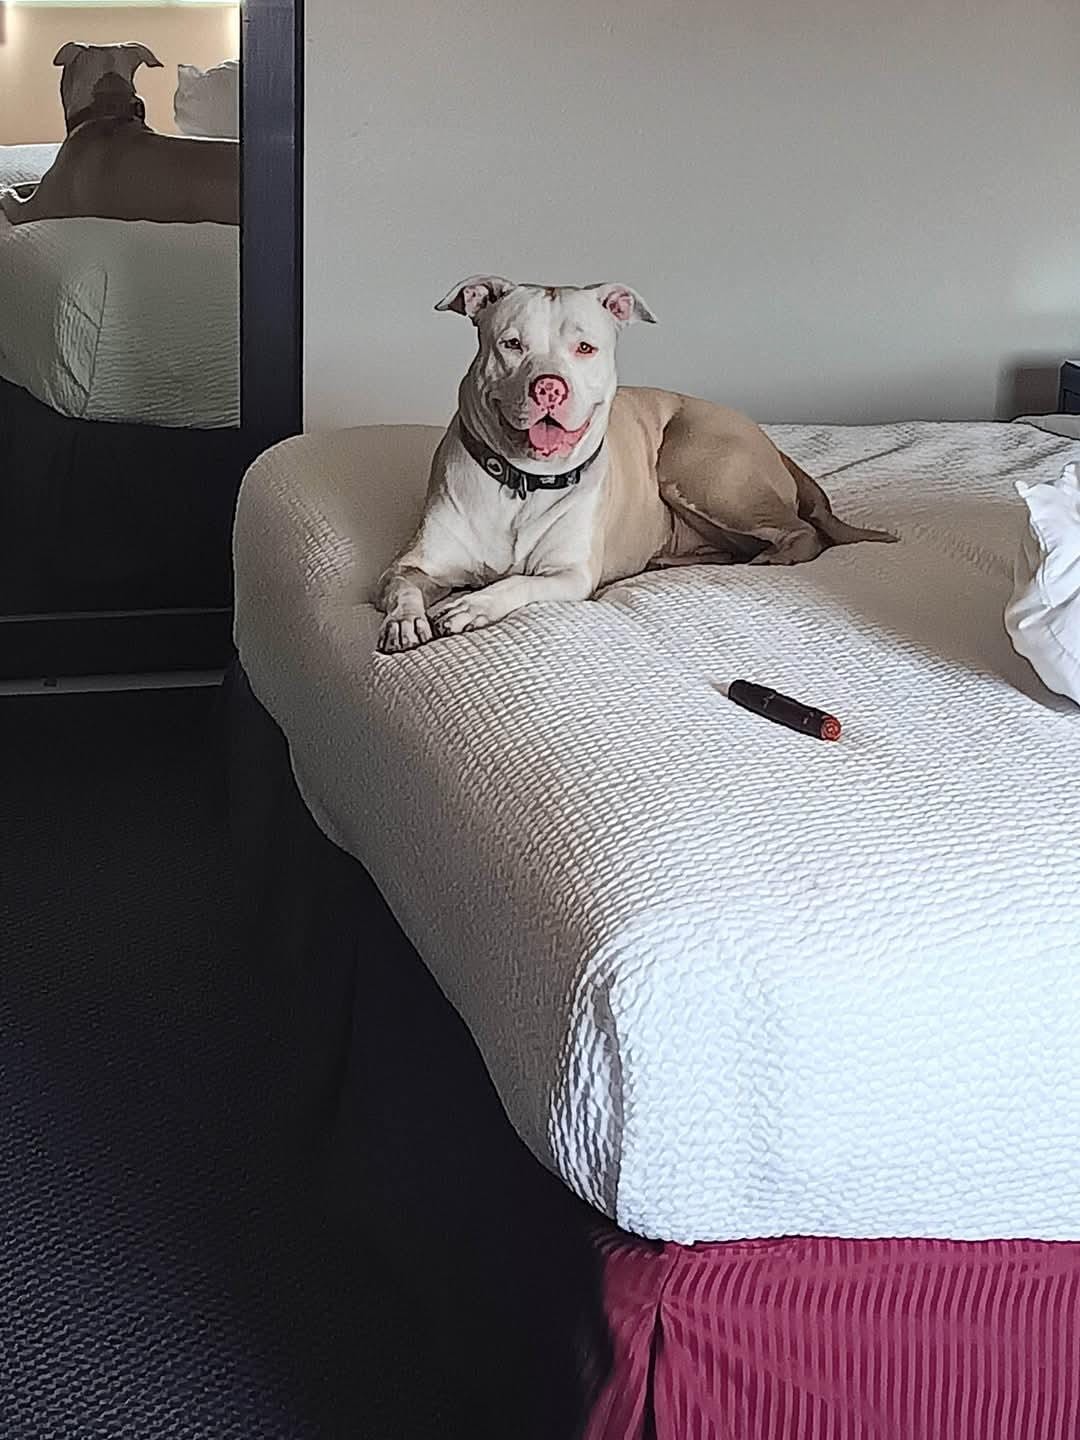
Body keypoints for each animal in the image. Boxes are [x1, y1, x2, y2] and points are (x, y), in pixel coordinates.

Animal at [375, 277, 895, 653]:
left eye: (585, 348)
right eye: (511, 344)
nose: (549, 387)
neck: (522, 483)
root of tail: (767, 439)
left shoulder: (569, 575)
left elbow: (517, 583)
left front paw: (472, 605)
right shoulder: (412, 565)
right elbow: (401, 586)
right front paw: (405, 622)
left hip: (698, 468)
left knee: (805, 533)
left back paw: (773, 557)